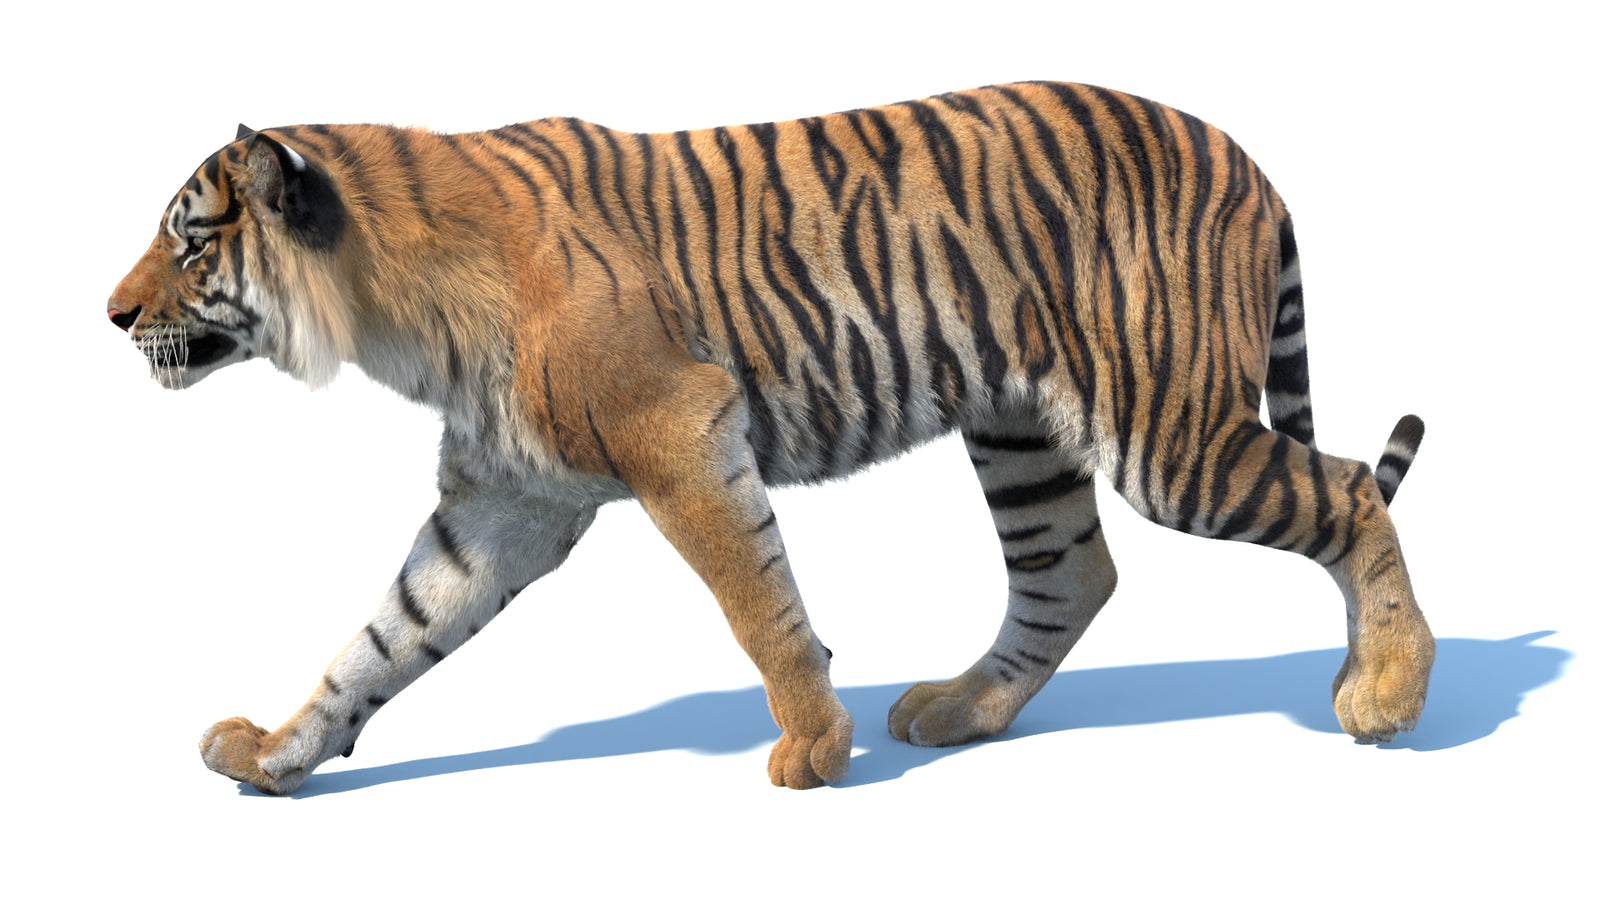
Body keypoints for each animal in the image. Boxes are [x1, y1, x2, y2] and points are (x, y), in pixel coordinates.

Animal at [107, 81, 1432, 795]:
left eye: (189, 242)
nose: (110, 315)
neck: (390, 314)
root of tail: (1246, 153)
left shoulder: (682, 434)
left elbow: (757, 599)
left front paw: (811, 743)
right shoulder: (504, 501)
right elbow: (383, 638)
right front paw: (276, 753)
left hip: (1169, 430)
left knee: (1349, 494)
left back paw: (1385, 693)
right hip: (1019, 432)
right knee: (1074, 574)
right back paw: (958, 711)